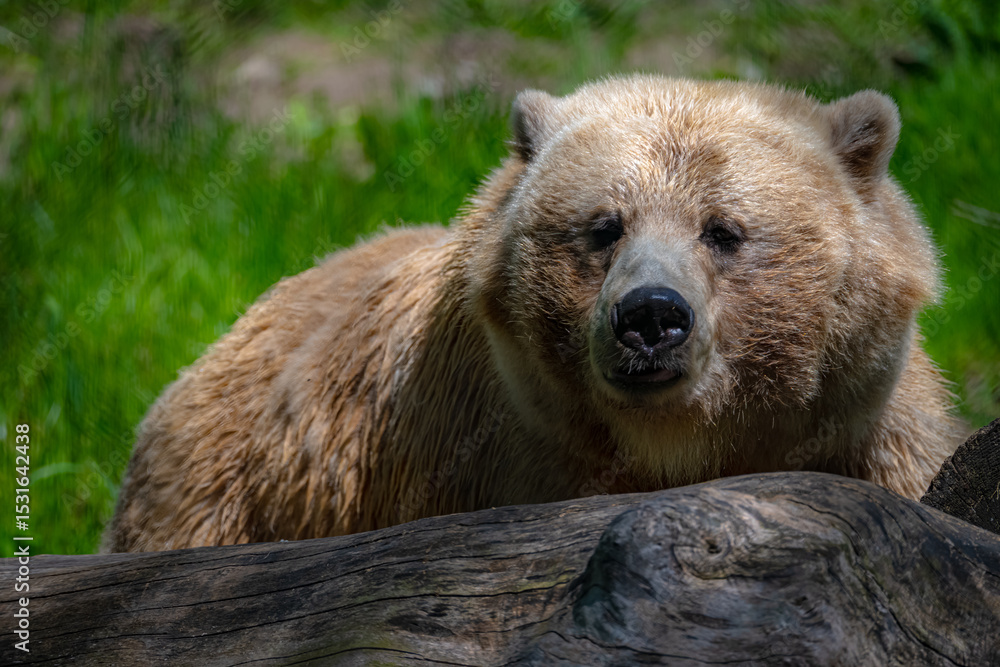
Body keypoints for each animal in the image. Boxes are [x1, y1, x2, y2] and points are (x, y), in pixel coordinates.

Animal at [105, 74, 963, 552]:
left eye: (723, 229)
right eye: (604, 225)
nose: (651, 316)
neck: (670, 450)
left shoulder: (872, 436)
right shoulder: (490, 456)